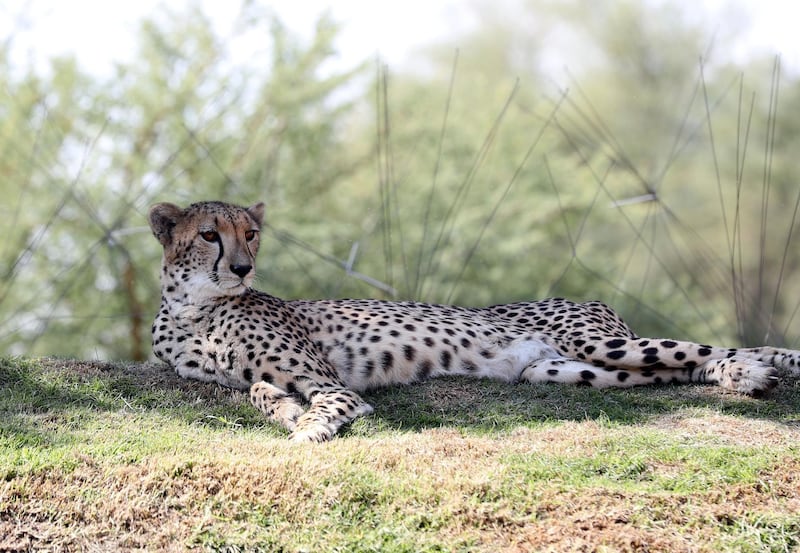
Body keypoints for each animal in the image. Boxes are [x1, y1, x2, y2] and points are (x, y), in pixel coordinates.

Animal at [148, 201, 800, 442]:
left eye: (251, 232)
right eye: (209, 235)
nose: (242, 266)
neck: (194, 308)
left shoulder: (329, 380)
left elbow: (331, 401)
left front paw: (308, 426)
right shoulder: (230, 375)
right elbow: (258, 389)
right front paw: (284, 411)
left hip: (603, 343)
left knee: (708, 349)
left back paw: (759, 369)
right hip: (567, 370)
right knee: (682, 366)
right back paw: (750, 375)